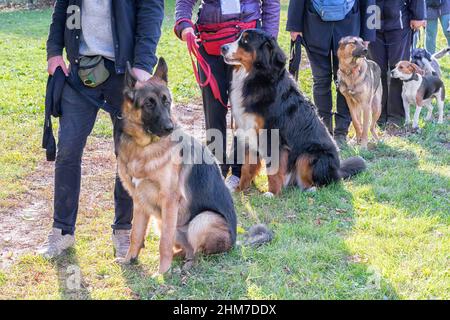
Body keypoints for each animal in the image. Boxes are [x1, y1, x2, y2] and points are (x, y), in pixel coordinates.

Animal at [116, 58, 237, 274]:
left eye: (167, 101)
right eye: (149, 103)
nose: (169, 127)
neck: (143, 147)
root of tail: (236, 241)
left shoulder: (170, 200)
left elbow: (164, 241)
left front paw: (162, 272)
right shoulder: (139, 201)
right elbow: (135, 234)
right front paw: (130, 259)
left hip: (202, 220)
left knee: (197, 253)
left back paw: (185, 266)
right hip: (162, 222)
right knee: (185, 248)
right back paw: (178, 257)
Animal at [221, 29, 366, 195]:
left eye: (245, 41)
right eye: (238, 37)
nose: (222, 47)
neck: (256, 76)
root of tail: (338, 170)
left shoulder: (272, 135)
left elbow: (273, 169)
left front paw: (272, 193)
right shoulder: (248, 132)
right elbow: (247, 167)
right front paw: (239, 189)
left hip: (308, 155)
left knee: (321, 182)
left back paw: (310, 190)